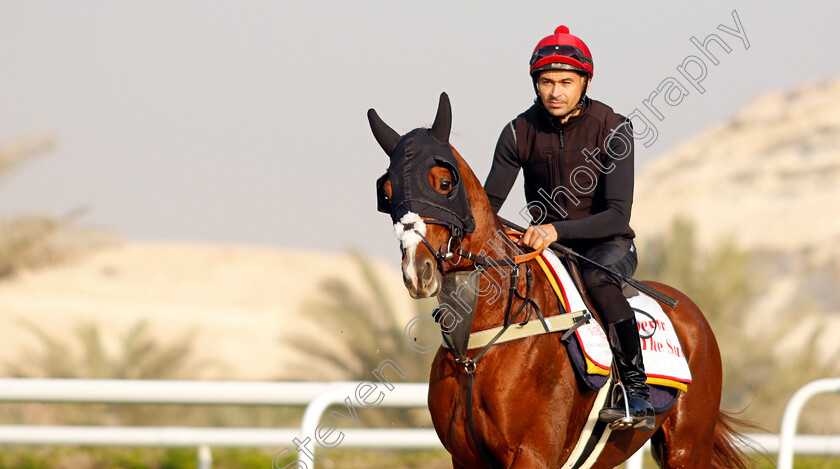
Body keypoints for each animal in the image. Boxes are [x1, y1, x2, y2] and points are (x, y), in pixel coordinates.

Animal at [368, 92, 748, 468]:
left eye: (445, 183)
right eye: (387, 192)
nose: (417, 272)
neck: (477, 347)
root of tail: (693, 314)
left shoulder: (532, 453)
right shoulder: (465, 458)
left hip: (687, 448)